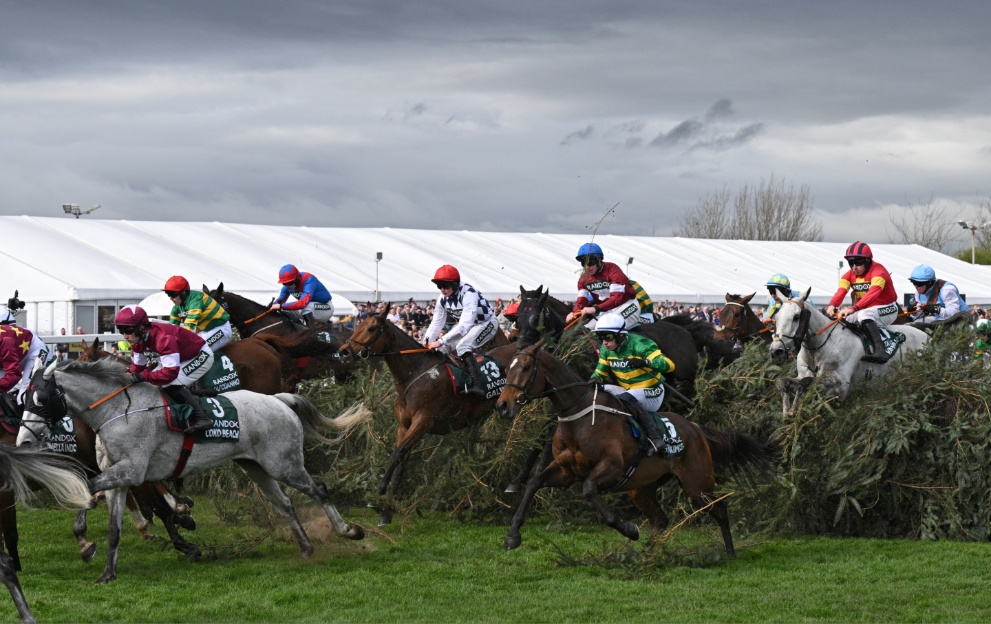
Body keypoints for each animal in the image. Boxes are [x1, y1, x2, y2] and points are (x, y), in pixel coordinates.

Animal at [20, 358, 372, 584]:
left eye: (40, 398)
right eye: (21, 398)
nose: (23, 440)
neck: (116, 411)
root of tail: (279, 400)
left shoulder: (131, 472)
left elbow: (88, 487)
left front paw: (85, 543)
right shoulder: (120, 479)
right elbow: (112, 525)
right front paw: (106, 571)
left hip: (284, 464)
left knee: (318, 490)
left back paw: (349, 531)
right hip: (256, 467)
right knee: (284, 504)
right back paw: (306, 547)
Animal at [338, 308, 516, 528]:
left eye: (371, 328)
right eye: (358, 325)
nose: (344, 352)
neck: (416, 373)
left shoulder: (423, 421)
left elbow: (396, 454)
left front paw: (379, 490)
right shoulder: (404, 425)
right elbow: (401, 463)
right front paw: (386, 512)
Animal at [494, 338, 776, 560]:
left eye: (526, 367)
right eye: (506, 368)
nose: (503, 405)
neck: (579, 416)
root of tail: (695, 428)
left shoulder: (611, 467)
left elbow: (589, 490)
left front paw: (629, 529)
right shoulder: (566, 471)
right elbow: (534, 483)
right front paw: (513, 535)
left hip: (697, 483)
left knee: (719, 509)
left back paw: (729, 553)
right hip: (642, 489)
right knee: (661, 520)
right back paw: (648, 556)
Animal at [768, 290, 928, 416]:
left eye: (796, 317)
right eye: (776, 317)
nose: (776, 351)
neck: (817, 349)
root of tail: (927, 336)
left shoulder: (840, 387)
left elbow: (805, 383)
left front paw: (794, 410)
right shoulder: (802, 374)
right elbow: (784, 381)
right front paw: (788, 411)